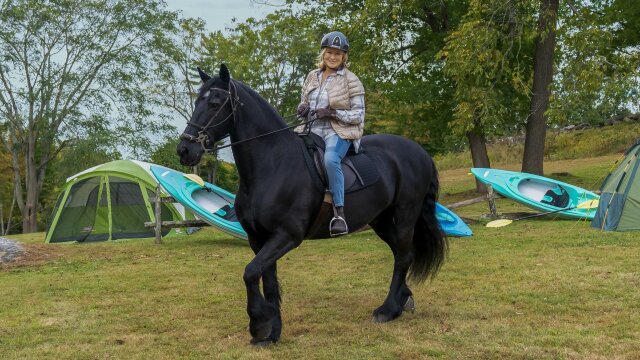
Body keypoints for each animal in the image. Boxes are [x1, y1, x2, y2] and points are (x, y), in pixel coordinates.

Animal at [175, 64, 444, 346]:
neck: (273, 165)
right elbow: (268, 281)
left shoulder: (287, 235)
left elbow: (250, 272)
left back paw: (388, 309)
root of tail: (420, 152)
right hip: (381, 220)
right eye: (198, 101)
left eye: (215, 103)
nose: (184, 149)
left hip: (405, 216)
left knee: (403, 256)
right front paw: (271, 334)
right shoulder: (259, 239)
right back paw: (403, 300)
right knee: (403, 255)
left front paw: (259, 324)